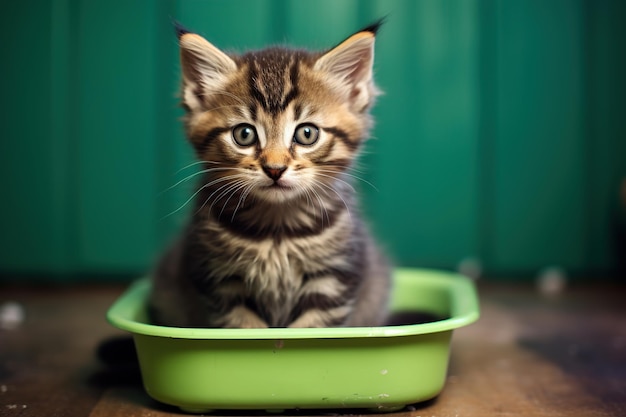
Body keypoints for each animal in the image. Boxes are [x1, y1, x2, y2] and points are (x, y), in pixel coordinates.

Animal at [147, 22, 390, 328]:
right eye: (244, 134)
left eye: (307, 133)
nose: (275, 168)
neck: (277, 229)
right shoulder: (221, 281)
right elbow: (245, 328)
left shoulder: (334, 277)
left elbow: (311, 329)